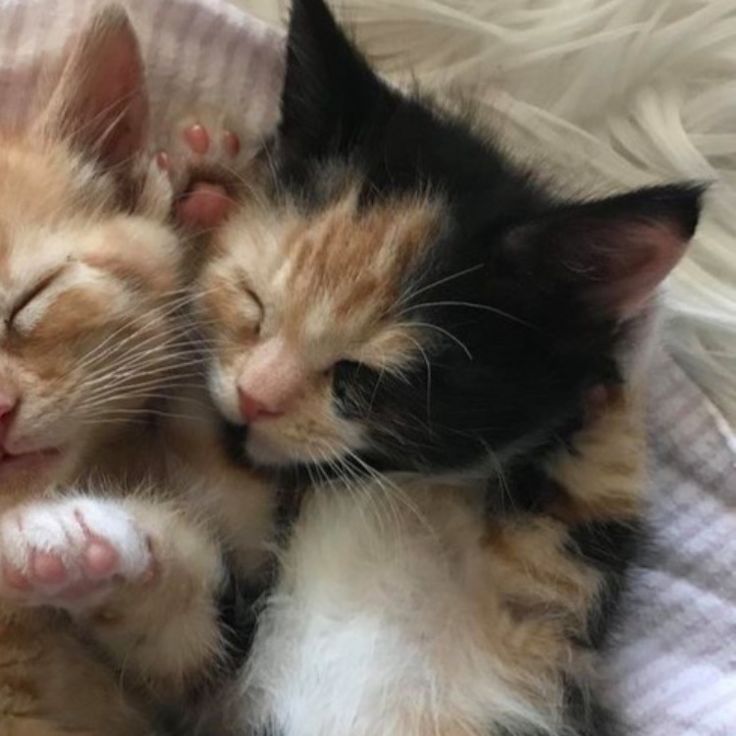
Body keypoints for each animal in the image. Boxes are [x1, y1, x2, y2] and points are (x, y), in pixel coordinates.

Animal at [177, 1, 700, 736]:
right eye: (253, 306)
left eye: (364, 381)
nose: (253, 400)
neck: (419, 494)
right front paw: (206, 192)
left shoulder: (549, 605)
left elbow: (604, 471)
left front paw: (628, 316)